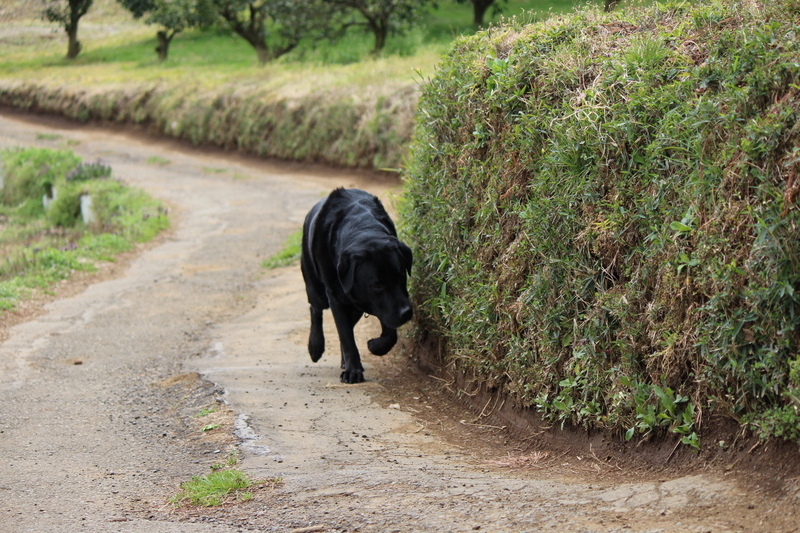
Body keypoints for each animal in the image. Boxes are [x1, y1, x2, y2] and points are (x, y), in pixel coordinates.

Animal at [300, 188, 412, 382]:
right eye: (376, 285)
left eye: (400, 277)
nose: (406, 312)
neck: (362, 228)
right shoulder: (336, 298)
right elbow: (346, 336)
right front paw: (353, 371)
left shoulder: (383, 305)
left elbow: (389, 334)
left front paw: (375, 345)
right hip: (316, 288)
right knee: (316, 309)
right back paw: (315, 347)